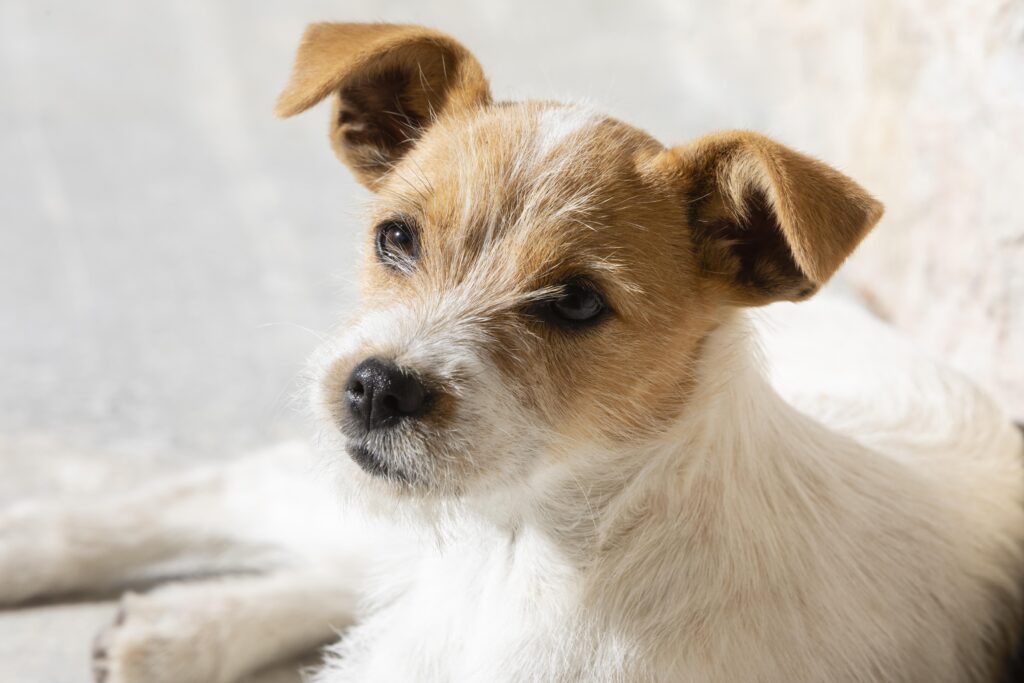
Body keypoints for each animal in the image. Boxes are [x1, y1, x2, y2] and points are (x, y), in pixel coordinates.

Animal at [2, 21, 1024, 683]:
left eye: (574, 302)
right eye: (397, 238)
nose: (376, 387)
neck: (518, 552)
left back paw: (182, 628)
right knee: (210, 497)